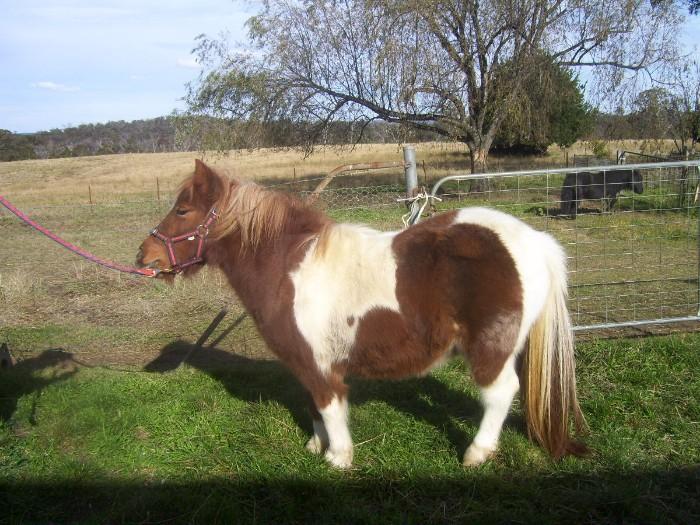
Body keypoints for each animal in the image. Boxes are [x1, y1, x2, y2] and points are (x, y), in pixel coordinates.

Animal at [136, 160, 587, 469]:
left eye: (182, 211)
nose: (144, 256)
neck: (287, 268)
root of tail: (535, 240)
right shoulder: (304, 362)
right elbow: (313, 405)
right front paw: (315, 445)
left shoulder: (320, 365)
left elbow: (329, 405)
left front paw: (337, 457)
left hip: (491, 347)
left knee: (500, 393)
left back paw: (476, 453)